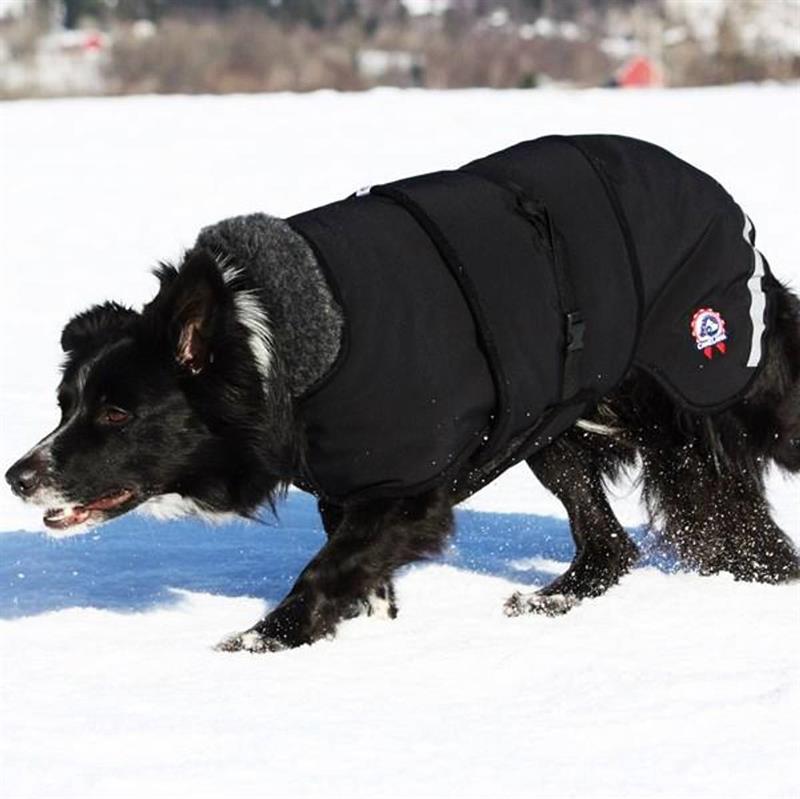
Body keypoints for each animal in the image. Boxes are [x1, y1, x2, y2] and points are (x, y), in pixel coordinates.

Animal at [6, 136, 800, 648]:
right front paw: (367, 626)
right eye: (65, 407)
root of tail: (730, 214)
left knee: (740, 529)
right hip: (557, 424)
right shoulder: (350, 478)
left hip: (699, 384)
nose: (17, 476)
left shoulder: (403, 485)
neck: (273, 354)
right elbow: (353, 565)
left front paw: (260, 642)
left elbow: (324, 570)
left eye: (117, 413)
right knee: (612, 544)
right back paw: (548, 601)